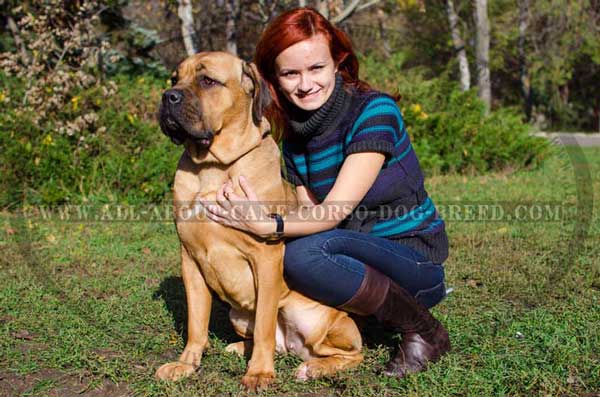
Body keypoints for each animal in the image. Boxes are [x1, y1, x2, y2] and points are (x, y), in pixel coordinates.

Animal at [156, 50, 360, 390]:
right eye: (174, 79)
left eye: (207, 80)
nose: (167, 96)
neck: (212, 166)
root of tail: (292, 346)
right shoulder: (190, 259)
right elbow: (196, 323)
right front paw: (186, 364)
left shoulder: (265, 257)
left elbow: (265, 321)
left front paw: (260, 373)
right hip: (238, 316)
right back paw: (240, 347)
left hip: (319, 322)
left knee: (351, 354)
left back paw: (313, 368)